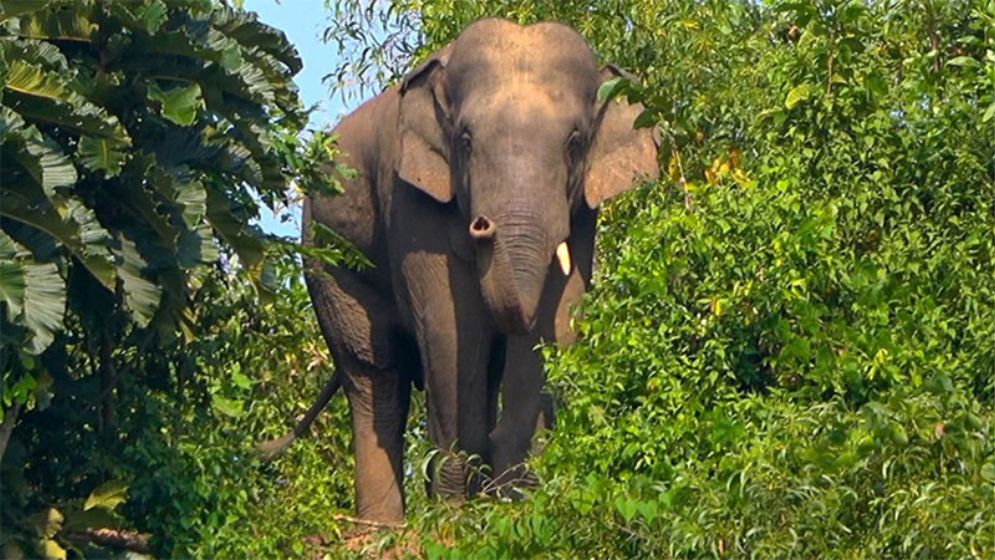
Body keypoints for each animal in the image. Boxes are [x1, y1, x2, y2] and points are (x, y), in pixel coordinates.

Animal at [264, 18, 659, 523]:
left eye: (574, 143)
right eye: (465, 142)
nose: (483, 223)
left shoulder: (583, 211)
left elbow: (557, 318)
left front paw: (519, 496)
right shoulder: (412, 202)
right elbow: (451, 329)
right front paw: (458, 512)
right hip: (325, 255)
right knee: (374, 373)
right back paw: (383, 526)